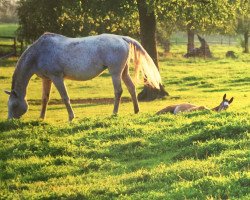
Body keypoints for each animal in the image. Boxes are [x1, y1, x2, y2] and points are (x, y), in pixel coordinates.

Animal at [5, 33, 162, 120]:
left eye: (13, 105)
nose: (9, 121)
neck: (39, 53)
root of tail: (121, 38)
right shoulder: (46, 79)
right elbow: (45, 98)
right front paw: (41, 117)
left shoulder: (57, 77)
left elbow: (65, 97)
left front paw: (71, 117)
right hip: (123, 72)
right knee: (131, 88)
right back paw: (136, 110)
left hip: (115, 72)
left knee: (118, 91)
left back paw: (114, 113)